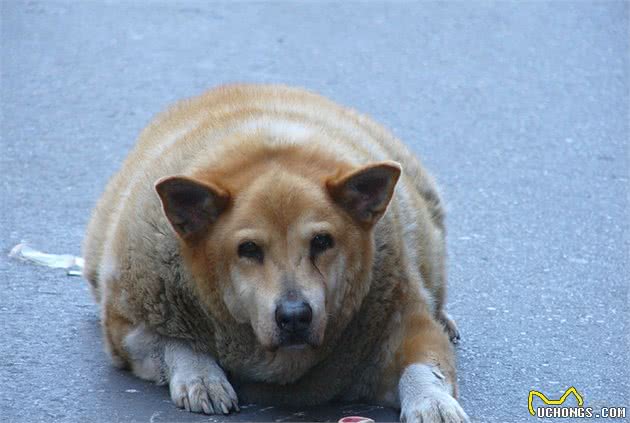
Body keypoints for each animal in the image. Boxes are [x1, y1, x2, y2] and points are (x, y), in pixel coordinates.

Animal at [82, 84, 470, 422]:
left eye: (322, 242)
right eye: (248, 249)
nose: (295, 316)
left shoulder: (402, 323)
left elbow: (422, 366)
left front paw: (432, 403)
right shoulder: (125, 328)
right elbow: (174, 343)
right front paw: (201, 377)